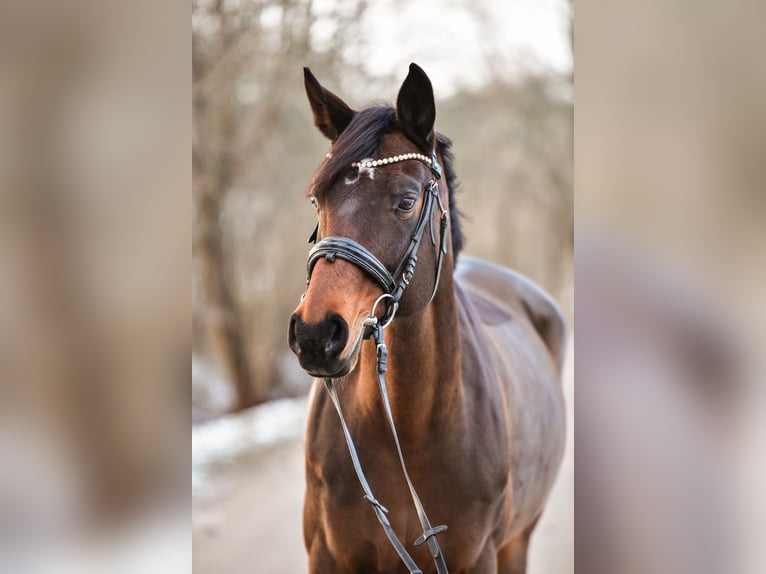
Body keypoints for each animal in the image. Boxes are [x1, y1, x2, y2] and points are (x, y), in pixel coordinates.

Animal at [288, 64, 568, 574]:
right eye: (318, 201)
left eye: (406, 201)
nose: (316, 334)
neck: (405, 427)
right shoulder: (326, 556)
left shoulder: (479, 557)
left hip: (516, 543)